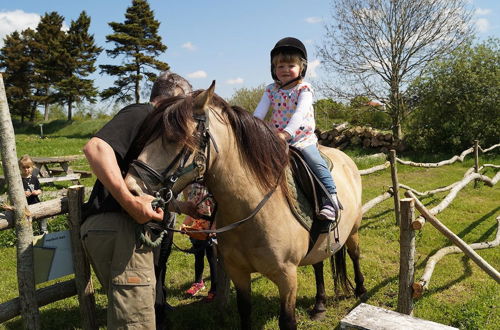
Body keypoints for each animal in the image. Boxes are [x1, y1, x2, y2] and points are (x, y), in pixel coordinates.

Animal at [125, 82, 368, 330]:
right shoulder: (238, 272)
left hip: (354, 228)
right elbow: (244, 312)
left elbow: (287, 321)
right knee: (318, 264)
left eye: (174, 138)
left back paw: (361, 290)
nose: (132, 190)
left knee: (354, 254)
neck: (252, 212)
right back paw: (319, 305)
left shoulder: (287, 277)